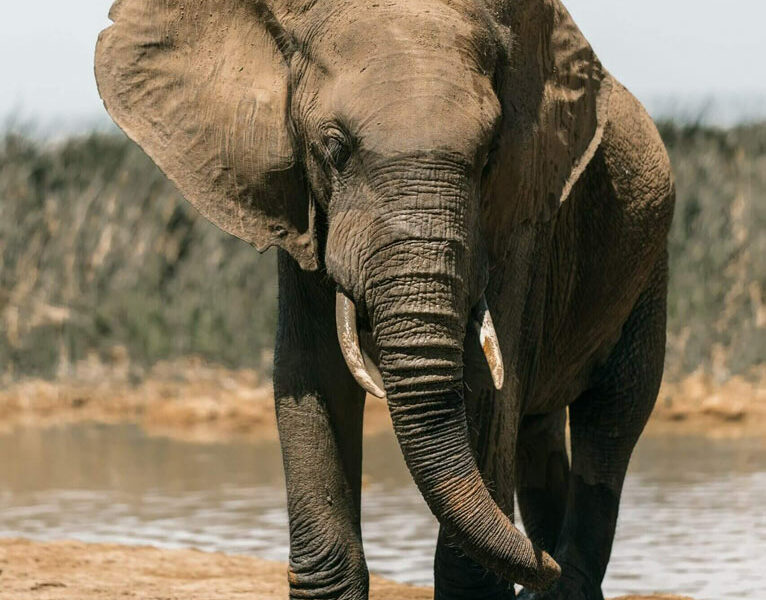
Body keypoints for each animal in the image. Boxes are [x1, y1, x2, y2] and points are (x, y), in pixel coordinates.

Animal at [95, 0, 674, 598]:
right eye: (333, 149)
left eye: (489, 156)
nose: (541, 562)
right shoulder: (304, 211)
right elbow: (313, 373)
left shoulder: (520, 219)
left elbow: (492, 388)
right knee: (540, 432)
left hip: (650, 266)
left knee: (612, 419)